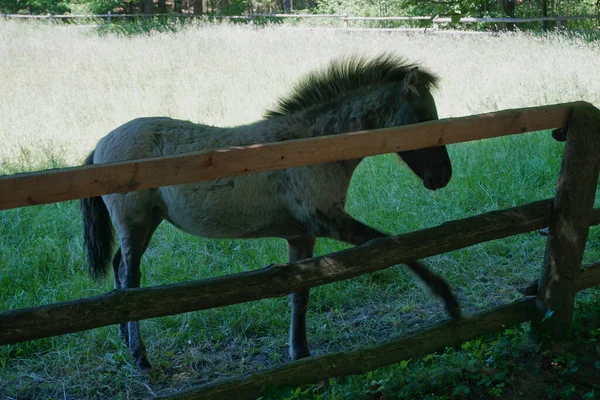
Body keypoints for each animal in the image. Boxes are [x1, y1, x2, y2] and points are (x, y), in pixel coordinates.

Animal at [81, 53, 460, 372]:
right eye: (423, 117)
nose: (443, 175)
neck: (310, 144)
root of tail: (100, 143)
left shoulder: (302, 235)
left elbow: (300, 293)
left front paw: (300, 353)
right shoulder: (328, 221)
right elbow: (390, 245)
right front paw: (447, 298)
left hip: (149, 222)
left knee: (119, 268)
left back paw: (123, 336)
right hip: (135, 223)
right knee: (131, 278)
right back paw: (140, 357)